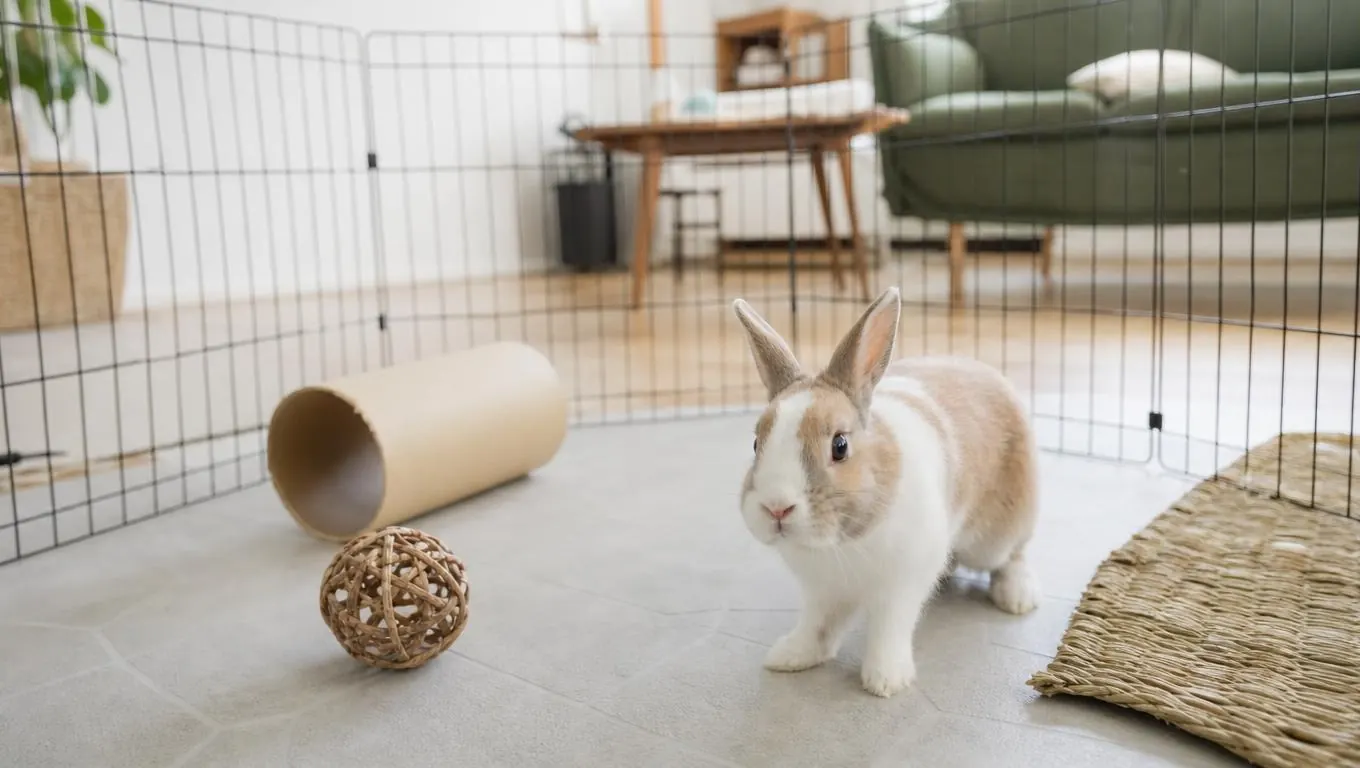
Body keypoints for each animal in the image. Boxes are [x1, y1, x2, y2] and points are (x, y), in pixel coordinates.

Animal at [732, 286, 1041, 698]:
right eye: (756, 443)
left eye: (840, 445)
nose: (777, 508)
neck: (841, 543)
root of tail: (988, 372)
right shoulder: (821, 591)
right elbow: (817, 625)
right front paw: (790, 655)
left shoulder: (903, 583)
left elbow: (889, 628)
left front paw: (885, 680)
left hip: (999, 534)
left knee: (1014, 555)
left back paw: (1017, 598)